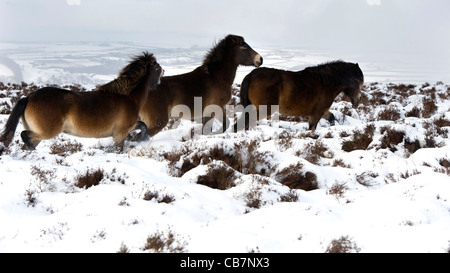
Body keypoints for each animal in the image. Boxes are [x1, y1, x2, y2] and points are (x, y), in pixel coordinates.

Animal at [0, 52, 163, 152]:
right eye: (158, 68)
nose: (159, 83)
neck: (128, 97)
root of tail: (28, 97)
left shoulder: (126, 128)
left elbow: (143, 125)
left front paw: (142, 138)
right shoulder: (120, 133)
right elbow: (119, 148)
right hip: (46, 132)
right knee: (25, 136)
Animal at [234, 60, 364, 132]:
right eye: (359, 83)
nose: (358, 101)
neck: (327, 83)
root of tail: (251, 75)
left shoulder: (322, 111)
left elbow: (331, 118)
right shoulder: (317, 113)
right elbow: (312, 128)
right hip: (263, 109)